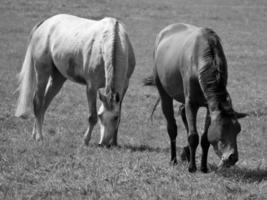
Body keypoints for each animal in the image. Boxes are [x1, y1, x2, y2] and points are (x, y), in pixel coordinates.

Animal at [14, 14, 136, 145]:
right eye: (101, 116)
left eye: (115, 117)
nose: (104, 143)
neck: (112, 39)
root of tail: (45, 23)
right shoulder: (91, 87)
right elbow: (91, 116)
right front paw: (86, 140)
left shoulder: (124, 88)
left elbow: (119, 114)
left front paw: (114, 142)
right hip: (42, 73)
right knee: (38, 102)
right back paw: (39, 136)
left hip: (58, 79)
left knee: (44, 104)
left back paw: (34, 134)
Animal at [143, 23, 248, 173]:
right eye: (221, 129)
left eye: (237, 130)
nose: (232, 157)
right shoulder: (191, 103)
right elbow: (193, 136)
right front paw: (192, 167)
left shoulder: (209, 106)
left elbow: (204, 138)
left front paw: (203, 166)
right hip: (164, 94)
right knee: (172, 127)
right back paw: (173, 159)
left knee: (182, 111)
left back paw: (186, 153)